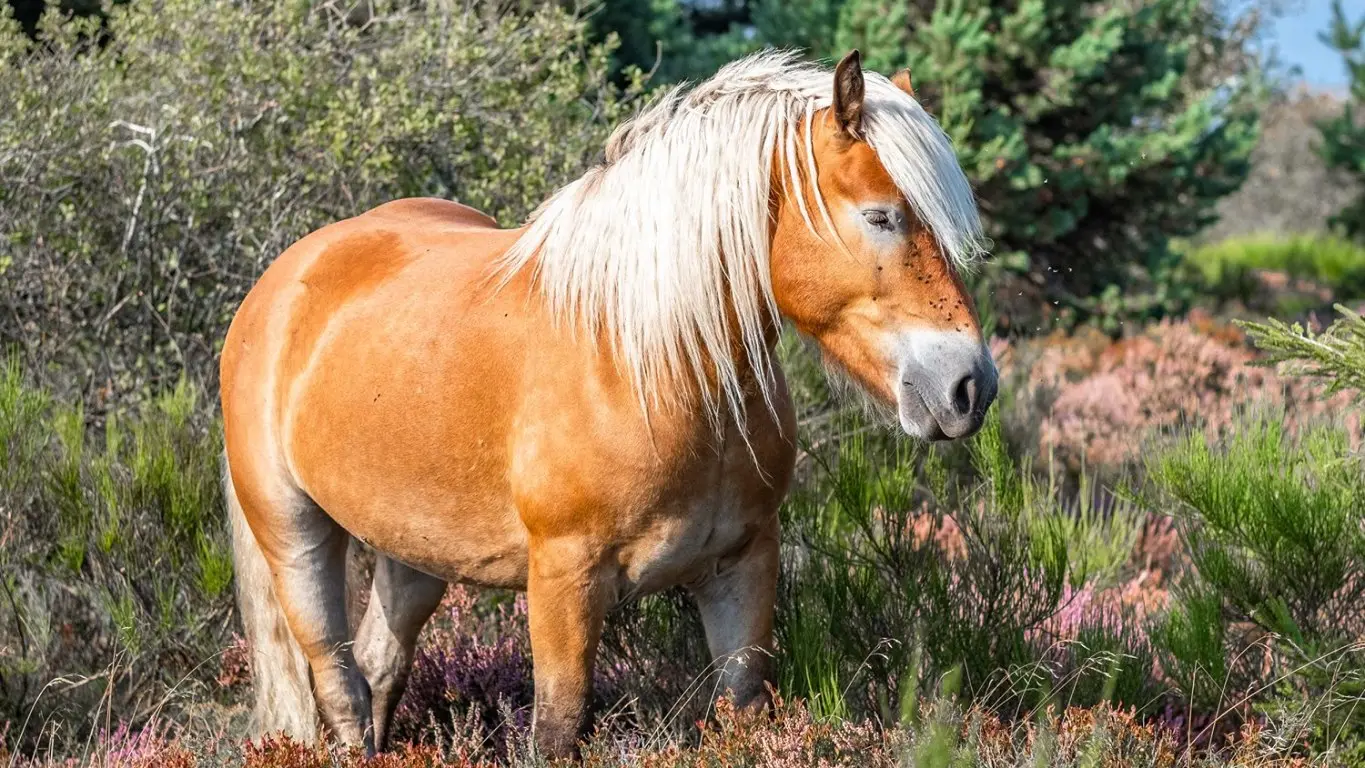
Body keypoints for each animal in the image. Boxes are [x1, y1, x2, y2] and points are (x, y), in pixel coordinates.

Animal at [220, 48, 997, 758]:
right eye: (881, 216)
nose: (971, 385)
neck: (649, 368)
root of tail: (285, 278)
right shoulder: (563, 583)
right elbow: (559, 726)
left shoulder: (743, 566)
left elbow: (743, 708)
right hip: (294, 534)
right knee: (339, 686)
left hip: (413, 551)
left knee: (380, 666)